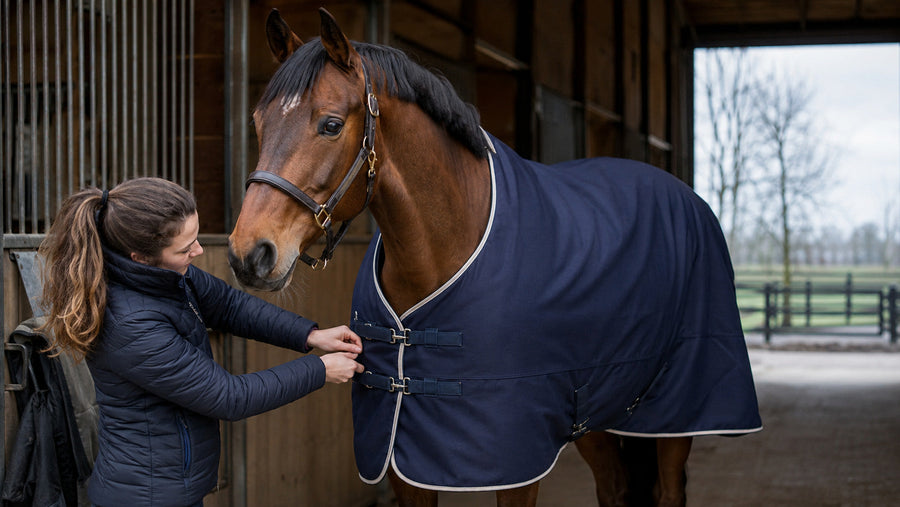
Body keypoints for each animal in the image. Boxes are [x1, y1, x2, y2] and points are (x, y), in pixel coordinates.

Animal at [227, 8, 762, 507]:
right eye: (257, 122)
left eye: (331, 125)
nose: (249, 253)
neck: (442, 251)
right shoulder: (401, 459)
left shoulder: (515, 461)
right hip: (595, 413)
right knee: (613, 487)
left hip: (675, 416)